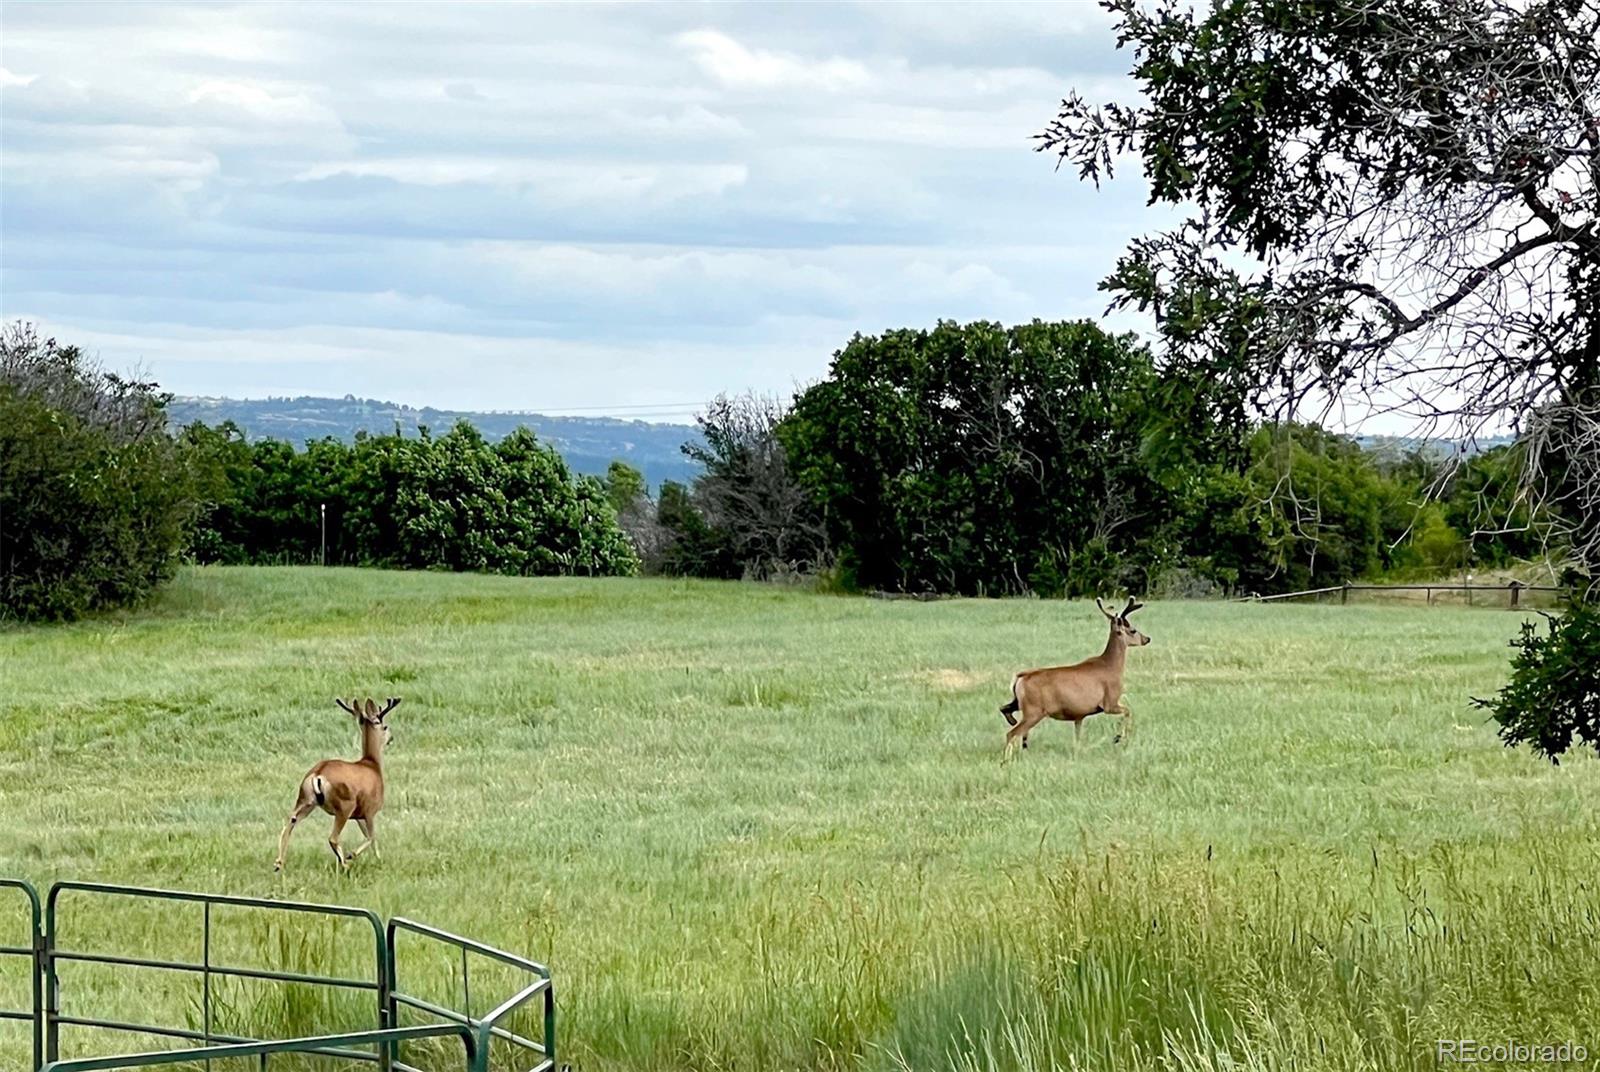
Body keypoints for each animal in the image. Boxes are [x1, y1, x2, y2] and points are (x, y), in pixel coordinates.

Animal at [275, 704, 400, 870]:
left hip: (305, 800)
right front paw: (352, 854)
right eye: (385, 726)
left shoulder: (358, 815)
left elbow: (371, 838)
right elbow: (372, 837)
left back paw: (278, 863)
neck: (372, 765)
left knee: (289, 823)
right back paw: (345, 864)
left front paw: (378, 860)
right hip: (344, 806)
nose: (391, 738)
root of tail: (318, 774)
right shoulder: (369, 810)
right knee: (333, 837)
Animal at [998, 601, 1152, 761]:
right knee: (1011, 733)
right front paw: (1118, 738)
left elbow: (1078, 737)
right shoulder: (1109, 702)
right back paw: (1006, 759)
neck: (1111, 665)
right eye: (1133, 630)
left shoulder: (1080, 715)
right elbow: (1128, 711)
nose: (1147, 638)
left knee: (1005, 710)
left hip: (1021, 704)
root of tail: (1020, 678)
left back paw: (1018, 735)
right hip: (1033, 711)